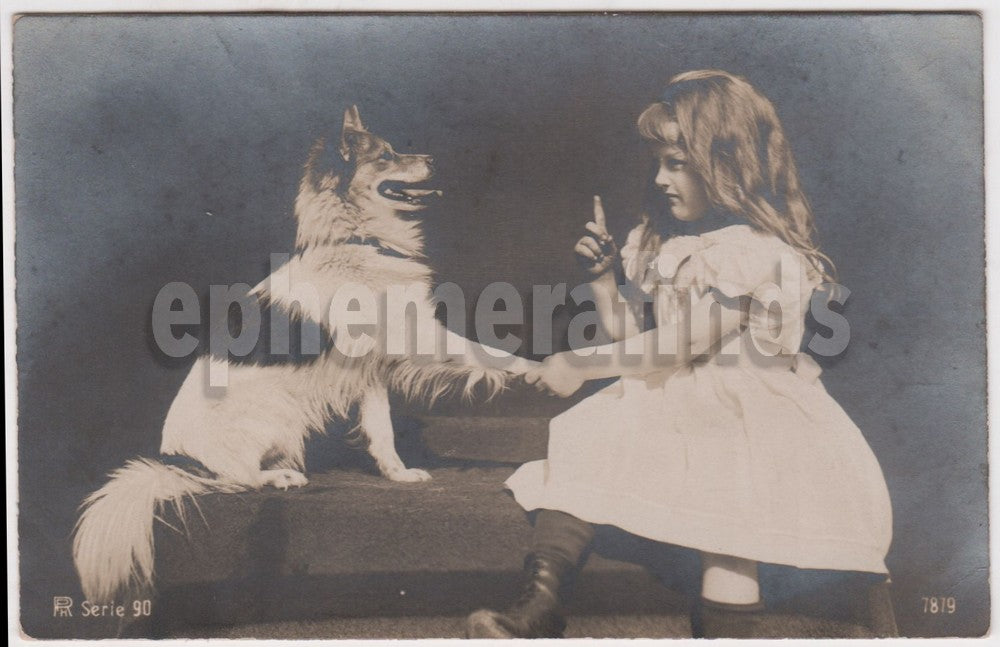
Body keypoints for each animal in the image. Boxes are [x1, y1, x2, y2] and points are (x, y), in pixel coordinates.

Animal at [73, 107, 536, 608]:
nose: (431, 159)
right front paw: (538, 370)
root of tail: (177, 458)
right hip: (274, 413)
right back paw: (278, 479)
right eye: (386, 155)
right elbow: (482, 352)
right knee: (235, 478)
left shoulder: (370, 373)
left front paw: (397, 474)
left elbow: (382, 432)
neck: (359, 239)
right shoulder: (410, 334)